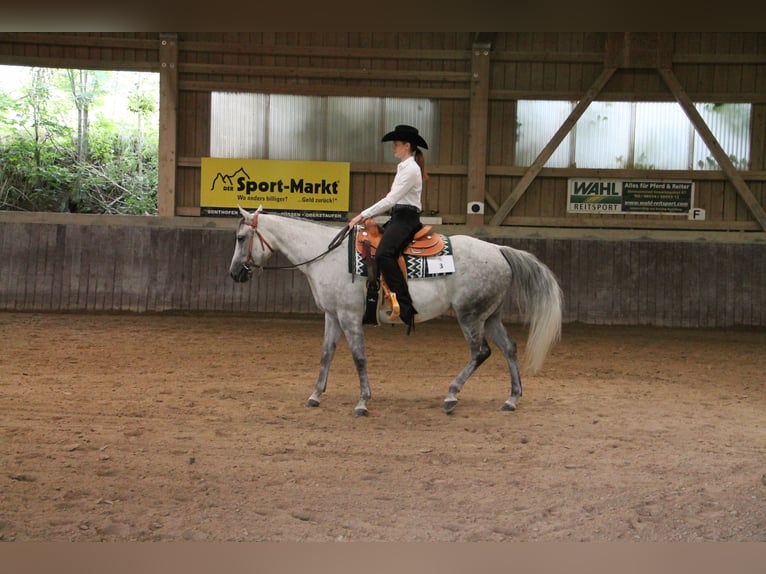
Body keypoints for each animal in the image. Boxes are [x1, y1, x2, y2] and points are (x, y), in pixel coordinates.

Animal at [229, 206, 563, 416]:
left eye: (241, 238)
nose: (234, 274)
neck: (327, 256)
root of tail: (498, 250)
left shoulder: (350, 316)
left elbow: (359, 357)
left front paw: (362, 403)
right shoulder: (333, 315)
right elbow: (326, 355)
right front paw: (315, 396)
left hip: (469, 315)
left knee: (481, 352)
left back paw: (451, 395)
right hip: (489, 315)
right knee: (509, 348)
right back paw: (511, 399)